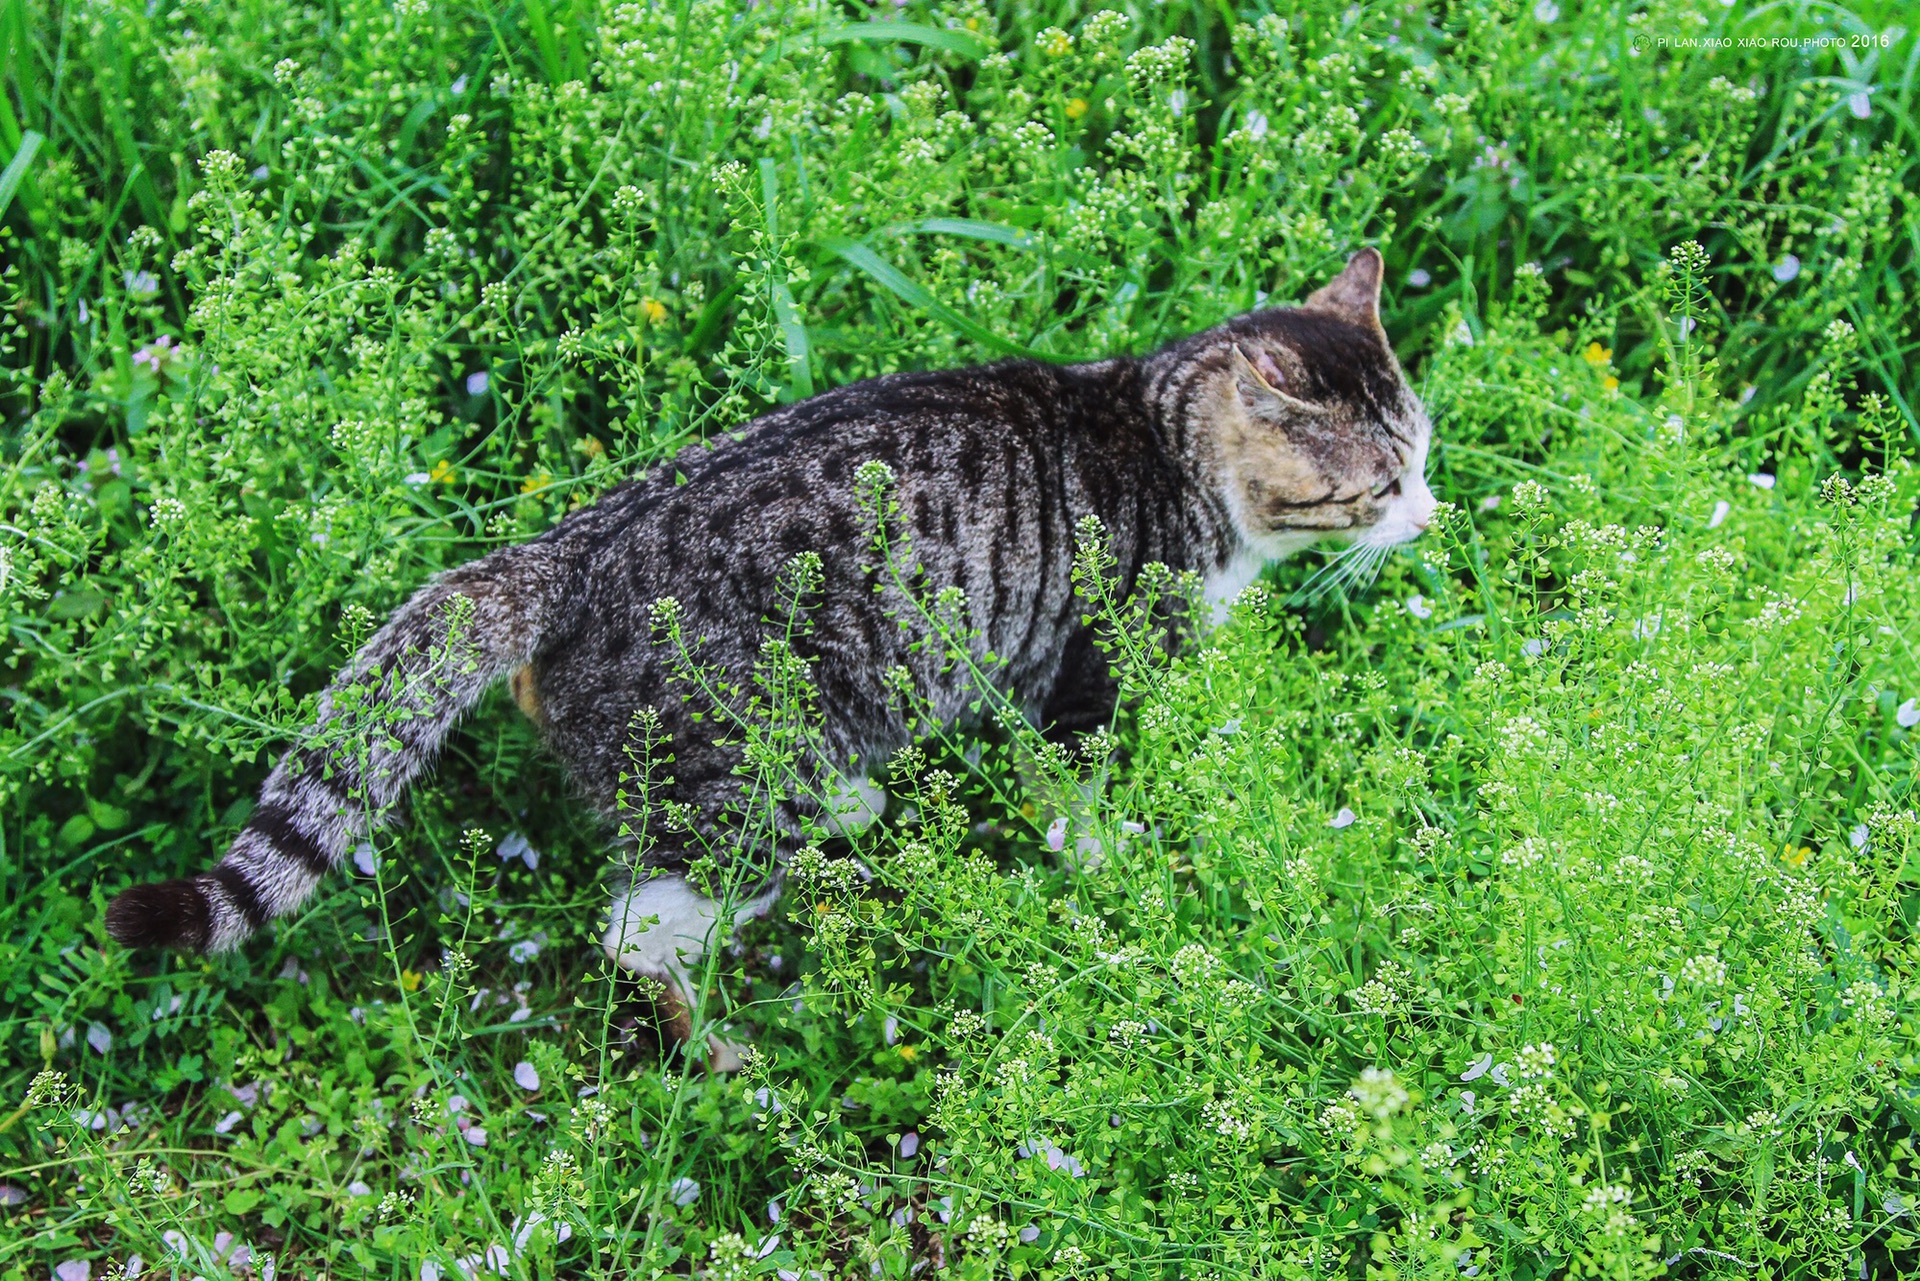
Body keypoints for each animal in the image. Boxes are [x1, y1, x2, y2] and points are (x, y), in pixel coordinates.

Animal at [101, 245, 1428, 1067]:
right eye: (1378, 483)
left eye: (1424, 453)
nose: (1430, 518)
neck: (1164, 446)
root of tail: (569, 552)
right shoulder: (1091, 681)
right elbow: (1080, 803)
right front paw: (1120, 882)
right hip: (743, 791)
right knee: (635, 932)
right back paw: (723, 1050)